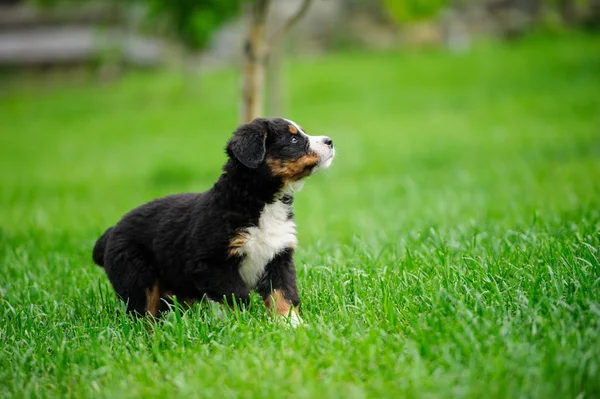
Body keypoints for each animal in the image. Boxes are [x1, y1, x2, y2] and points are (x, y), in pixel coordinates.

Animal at [92, 117, 336, 326]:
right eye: (293, 139)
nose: (330, 141)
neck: (262, 202)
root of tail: (112, 230)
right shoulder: (213, 263)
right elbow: (237, 297)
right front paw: (241, 327)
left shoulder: (278, 256)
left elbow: (284, 294)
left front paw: (292, 325)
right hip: (137, 278)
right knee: (142, 314)